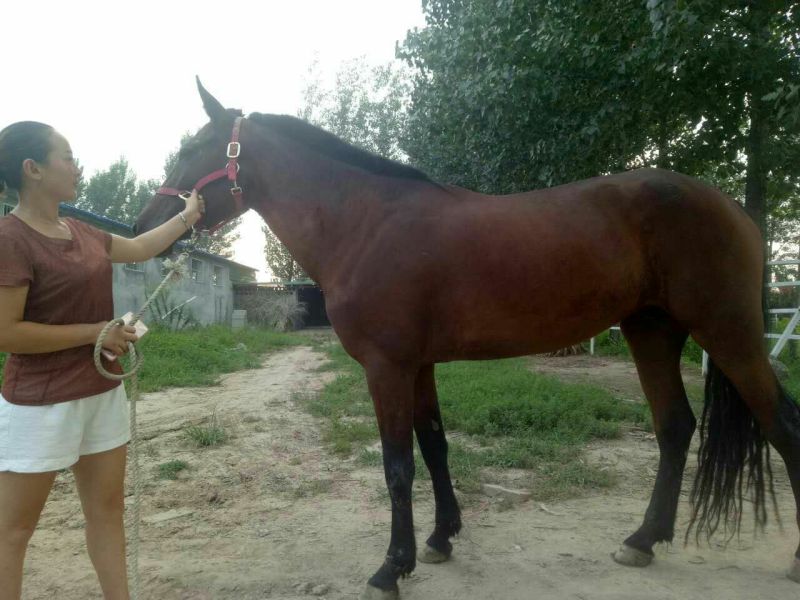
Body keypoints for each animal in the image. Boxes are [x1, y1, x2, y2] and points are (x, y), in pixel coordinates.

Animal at [135, 80, 800, 600]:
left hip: (728, 332)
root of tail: (734, 209)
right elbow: (434, 447)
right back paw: (641, 541)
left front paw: (391, 568)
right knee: (675, 427)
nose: (147, 226)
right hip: (652, 331)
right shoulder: (418, 365)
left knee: (780, 425)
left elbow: (397, 465)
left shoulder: (386, 367)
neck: (364, 223)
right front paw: (439, 539)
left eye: (190, 149)